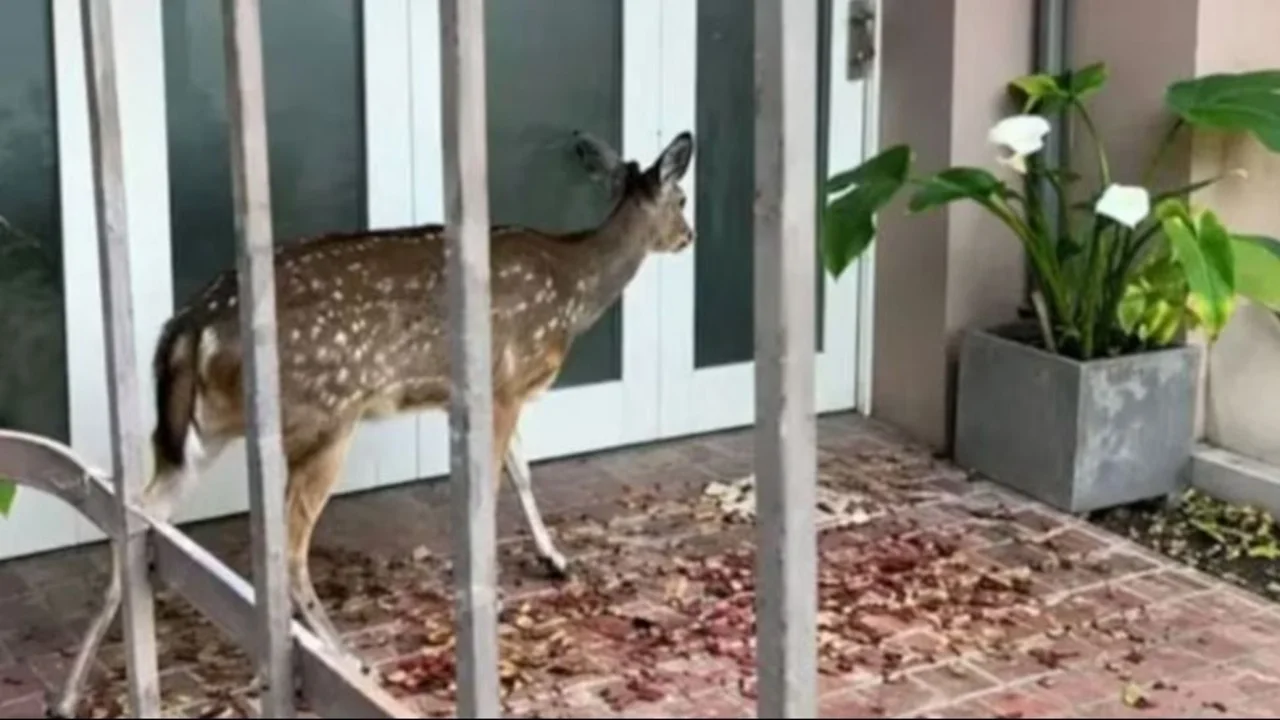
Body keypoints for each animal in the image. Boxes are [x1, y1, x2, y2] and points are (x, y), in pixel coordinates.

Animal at [51, 129, 695, 715]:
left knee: (133, 518)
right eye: (683, 197)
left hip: (200, 433)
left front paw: (555, 559)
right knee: (287, 551)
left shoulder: (482, 394)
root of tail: (189, 329)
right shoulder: (506, 381)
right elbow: (502, 479)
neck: (574, 288)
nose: (688, 236)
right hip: (325, 416)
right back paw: (348, 661)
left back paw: (68, 694)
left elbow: (522, 469)